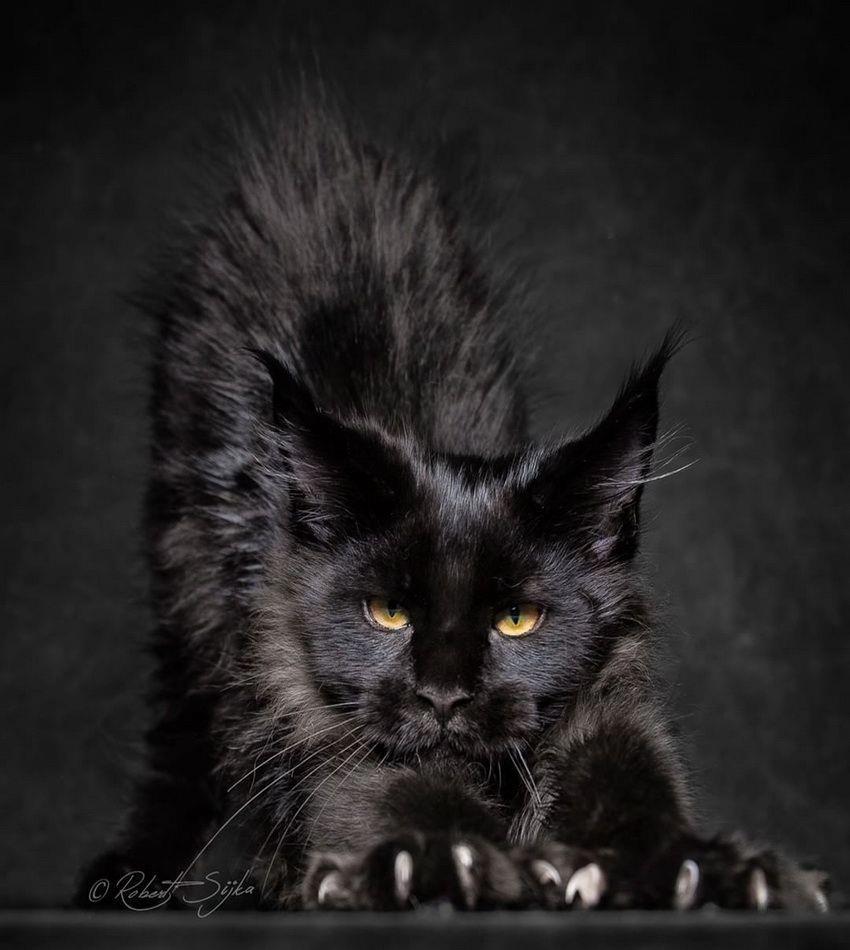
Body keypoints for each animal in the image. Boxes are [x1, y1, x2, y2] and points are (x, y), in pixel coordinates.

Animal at [76, 101, 828, 912]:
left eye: (518, 619)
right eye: (387, 613)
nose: (442, 698)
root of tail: (315, 161)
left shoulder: (613, 716)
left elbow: (638, 794)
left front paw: (700, 870)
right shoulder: (333, 747)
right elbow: (412, 797)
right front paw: (444, 860)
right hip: (193, 607)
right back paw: (130, 872)